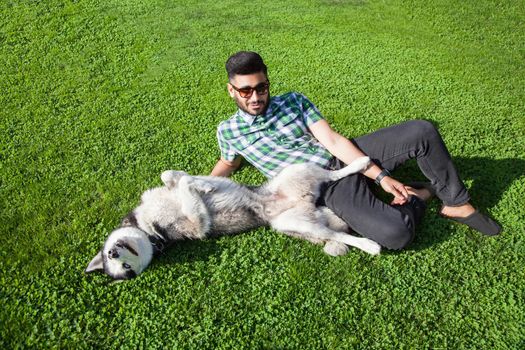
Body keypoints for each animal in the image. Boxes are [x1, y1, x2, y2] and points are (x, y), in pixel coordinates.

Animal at [87, 157, 380, 280]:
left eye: (117, 260)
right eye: (125, 269)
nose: (113, 253)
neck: (148, 231)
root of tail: (307, 203)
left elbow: (172, 176)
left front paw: (199, 183)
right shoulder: (197, 225)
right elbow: (187, 189)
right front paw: (197, 186)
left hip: (296, 172)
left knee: (332, 175)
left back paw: (361, 163)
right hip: (294, 223)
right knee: (337, 234)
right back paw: (370, 245)